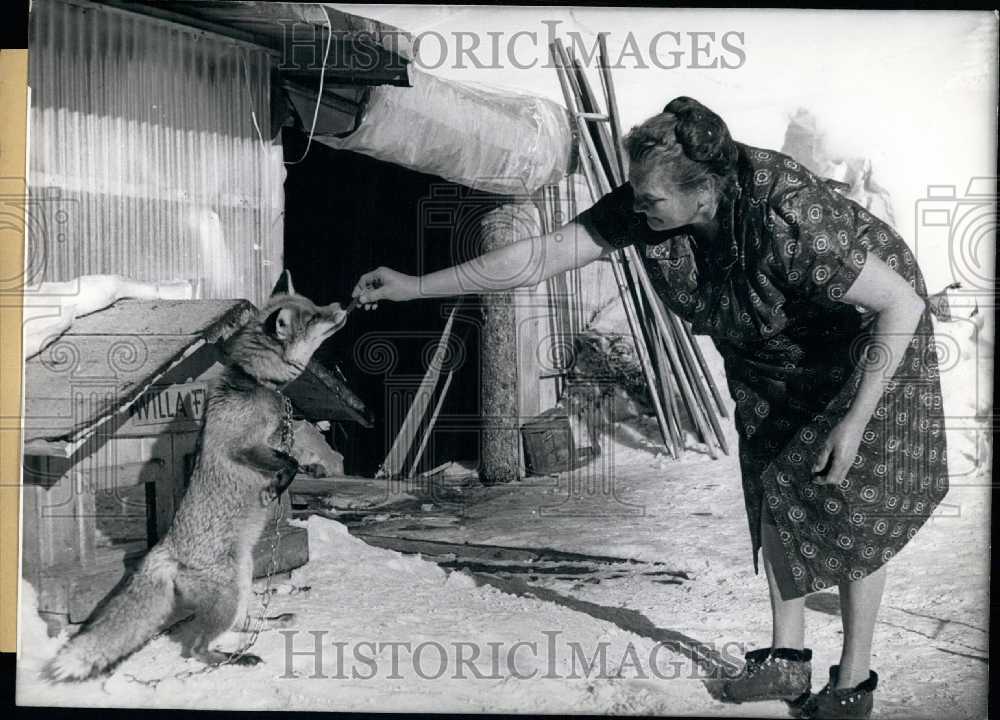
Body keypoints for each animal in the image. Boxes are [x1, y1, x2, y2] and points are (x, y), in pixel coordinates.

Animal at [47, 270, 348, 680]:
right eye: (315, 316)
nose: (341, 306)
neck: (255, 381)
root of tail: (163, 551)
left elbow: (295, 459)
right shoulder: (238, 446)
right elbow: (287, 464)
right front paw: (276, 486)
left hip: (242, 580)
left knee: (242, 623)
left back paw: (268, 624)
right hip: (228, 594)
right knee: (195, 648)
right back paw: (231, 659)